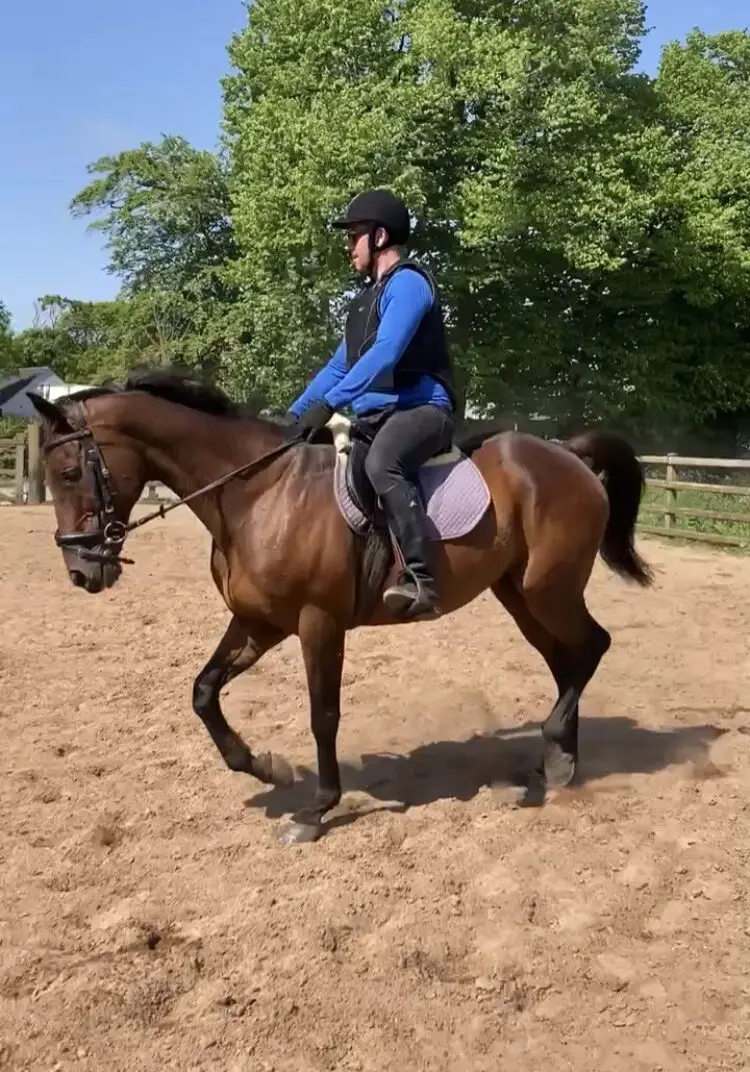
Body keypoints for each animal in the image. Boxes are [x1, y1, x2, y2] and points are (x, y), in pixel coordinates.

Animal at [27, 368, 652, 845]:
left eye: (69, 472)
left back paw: (559, 755)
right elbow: (203, 692)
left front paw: (316, 810)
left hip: (549, 587)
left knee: (591, 647)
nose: (82, 571)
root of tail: (566, 453)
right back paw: (558, 760)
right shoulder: (258, 621)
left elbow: (322, 715)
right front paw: (268, 768)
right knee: (566, 659)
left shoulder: (318, 622)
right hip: (519, 594)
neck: (258, 493)